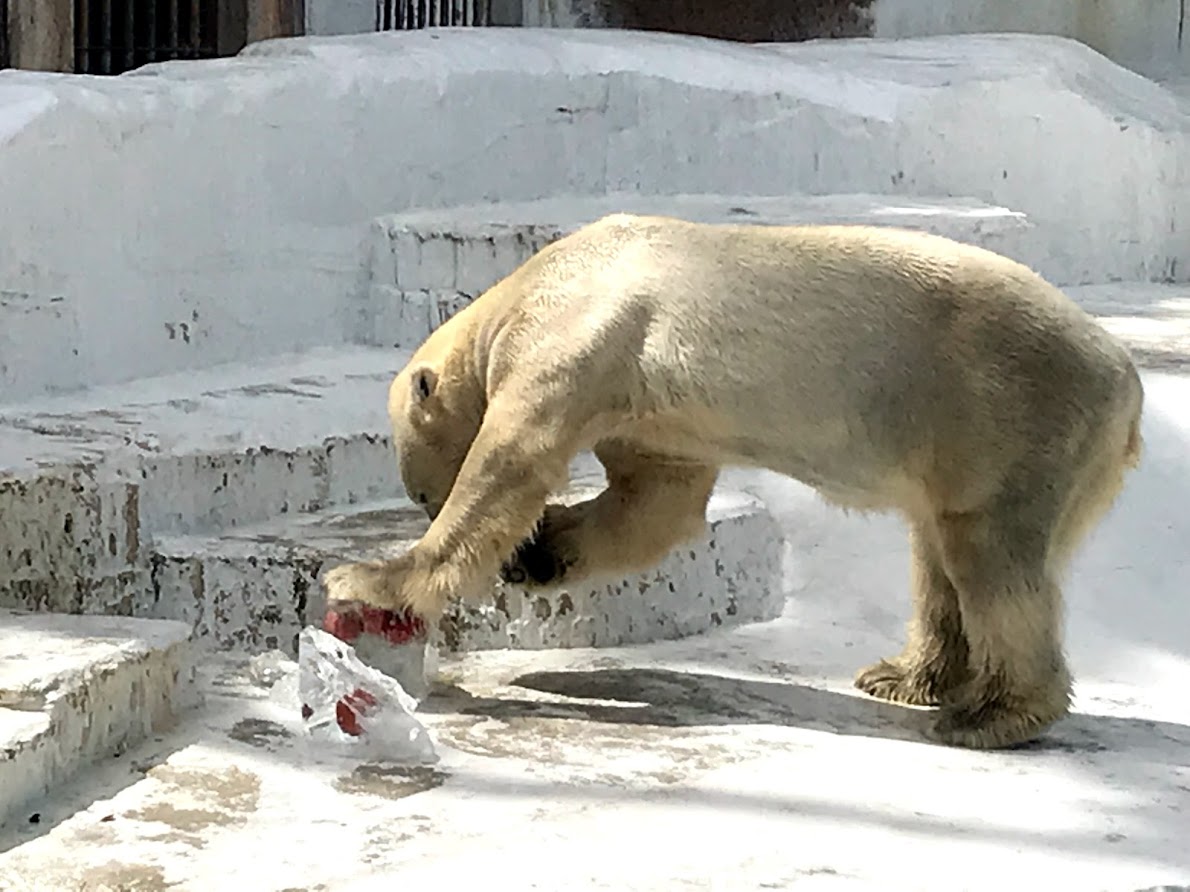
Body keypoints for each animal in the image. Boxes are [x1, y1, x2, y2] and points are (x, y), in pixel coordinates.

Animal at [323, 212, 1142, 751]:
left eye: (421, 495)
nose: (422, 498)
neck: (528, 288)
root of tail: (1127, 388)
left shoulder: (574, 336)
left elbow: (512, 463)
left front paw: (371, 577)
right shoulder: (647, 413)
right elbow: (657, 497)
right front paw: (541, 551)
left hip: (1007, 417)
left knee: (991, 560)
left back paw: (990, 715)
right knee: (936, 554)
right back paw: (905, 676)